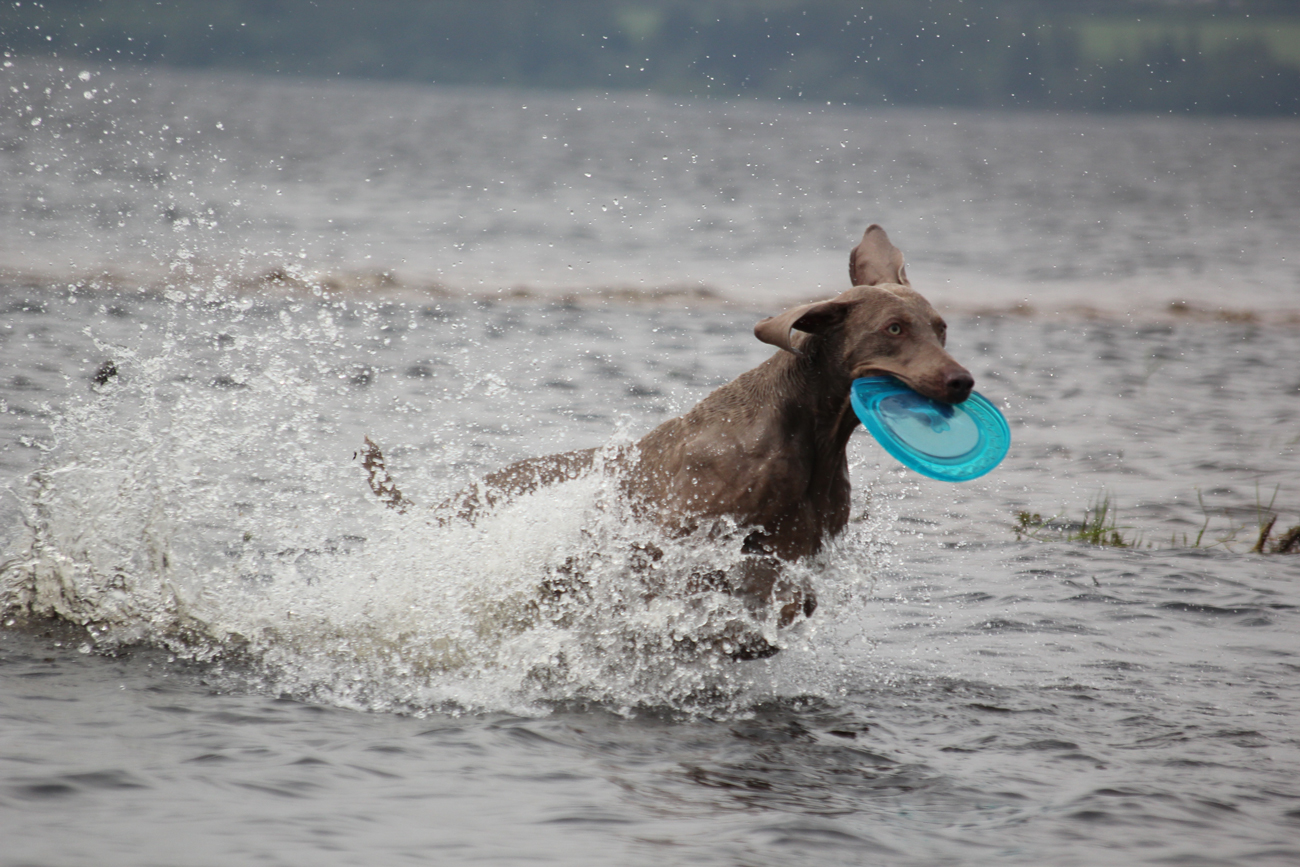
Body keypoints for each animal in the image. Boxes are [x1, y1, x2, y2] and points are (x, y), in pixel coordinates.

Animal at [361, 227, 972, 655]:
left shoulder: (794, 550)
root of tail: (442, 506)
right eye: (894, 328)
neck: (814, 433)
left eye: (941, 328)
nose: (961, 381)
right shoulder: (670, 535)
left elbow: (793, 598)